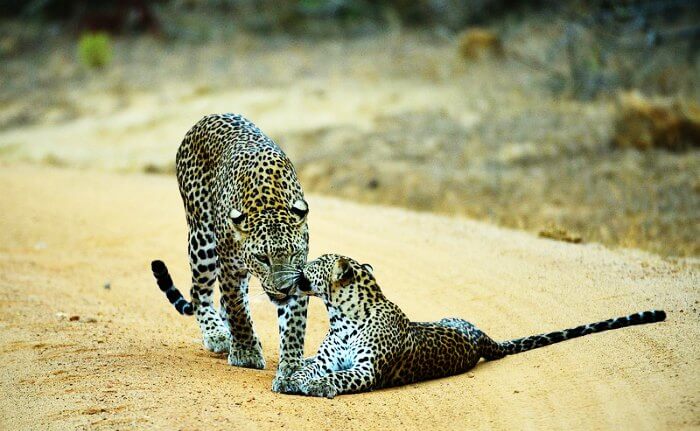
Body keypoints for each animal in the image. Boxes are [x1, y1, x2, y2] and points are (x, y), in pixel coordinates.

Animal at [152, 113, 310, 390]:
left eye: (293, 254)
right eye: (263, 258)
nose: (283, 289)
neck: (269, 204)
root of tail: (208, 117)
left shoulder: (299, 275)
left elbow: (293, 325)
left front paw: (291, 369)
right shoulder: (229, 267)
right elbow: (238, 311)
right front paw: (246, 353)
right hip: (202, 238)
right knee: (200, 293)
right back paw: (217, 333)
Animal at [274, 255, 668, 400]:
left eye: (316, 262)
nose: (297, 268)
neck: (342, 316)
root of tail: (484, 341)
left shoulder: (367, 370)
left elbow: (337, 376)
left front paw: (316, 387)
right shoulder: (326, 358)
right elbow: (307, 366)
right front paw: (289, 380)